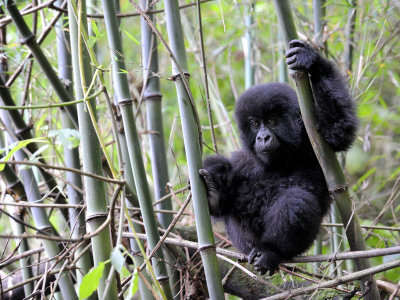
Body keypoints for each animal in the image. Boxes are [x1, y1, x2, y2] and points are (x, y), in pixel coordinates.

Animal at [202, 39, 358, 274]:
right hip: (245, 245)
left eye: (272, 121)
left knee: (295, 201)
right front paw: (216, 189)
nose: (263, 137)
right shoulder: (243, 160)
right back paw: (214, 193)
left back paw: (270, 252)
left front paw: (312, 61)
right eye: (254, 123)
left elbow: (339, 129)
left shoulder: (315, 143)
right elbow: (227, 195)